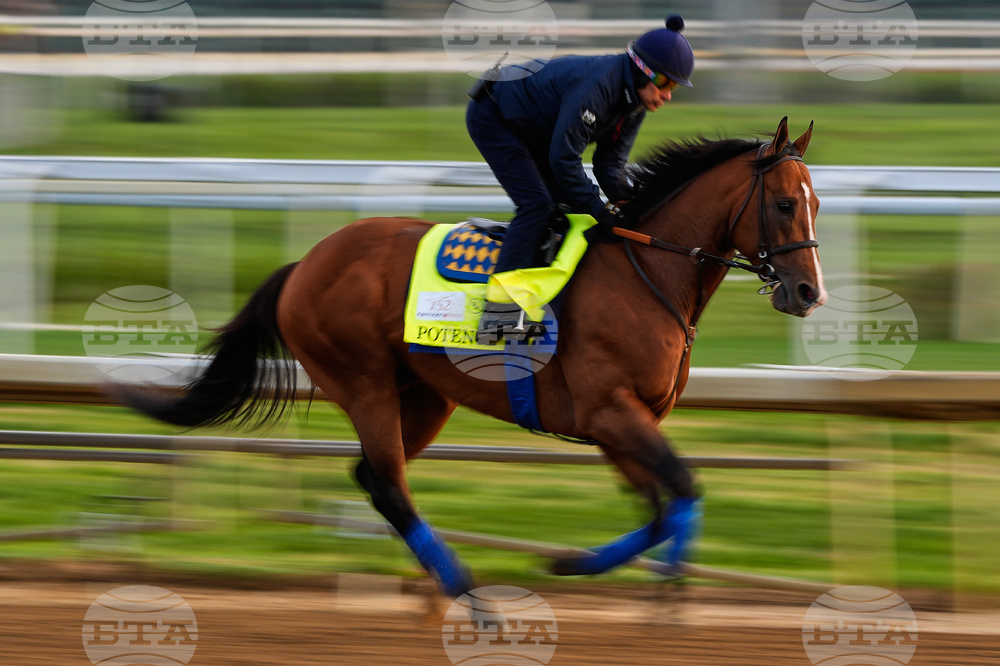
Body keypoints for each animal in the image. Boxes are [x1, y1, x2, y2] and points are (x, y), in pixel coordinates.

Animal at [113, 117, 826, 597]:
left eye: (818, 202)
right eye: (785, 202)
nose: (808, 292)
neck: (644, 270)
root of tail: (303, 265)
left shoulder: (623, 422)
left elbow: (660, 507)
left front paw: (582, 566)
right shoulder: (610, 412)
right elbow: (682, 486)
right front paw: (661, 591)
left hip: (427, 397)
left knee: (374, 478)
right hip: (365, 382)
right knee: (388, 484)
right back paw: (469, 592)